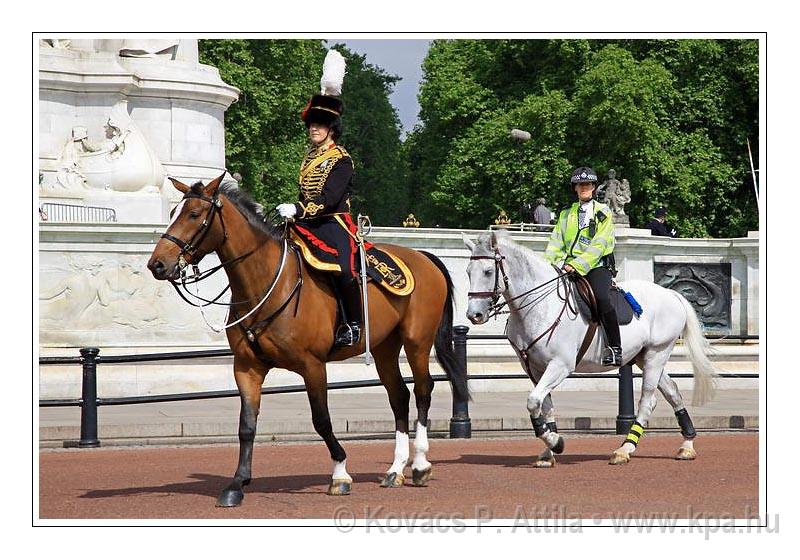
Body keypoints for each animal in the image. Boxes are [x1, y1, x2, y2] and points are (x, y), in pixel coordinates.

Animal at [148, 173, 468, 506]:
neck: (264, 284)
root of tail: (422, 256)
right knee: (399, 397)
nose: (157, 264)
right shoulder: (247, 367)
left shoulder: (313, 365)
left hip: (417, 342)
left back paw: (419, 465)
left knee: (422, 391)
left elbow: (321, 419)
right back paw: (395, 470)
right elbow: (246, 425)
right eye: (173, 213)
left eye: (194, 214)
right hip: (384, 349)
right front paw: (237, 483)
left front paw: (340, 473)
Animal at [462, 230, 720, 466]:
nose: (474, 315)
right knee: (672, 392)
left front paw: (555, 442)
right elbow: (544, 406)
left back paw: (625, 449)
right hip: (644, 357)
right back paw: (687, 444)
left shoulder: (561, 365)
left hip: (658, 353)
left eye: (488, 271)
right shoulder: (535, 369)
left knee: (647, 400)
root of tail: (671, 293)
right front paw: (549, 449)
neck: (538, 306)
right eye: (468, 271)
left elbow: (533, 401)